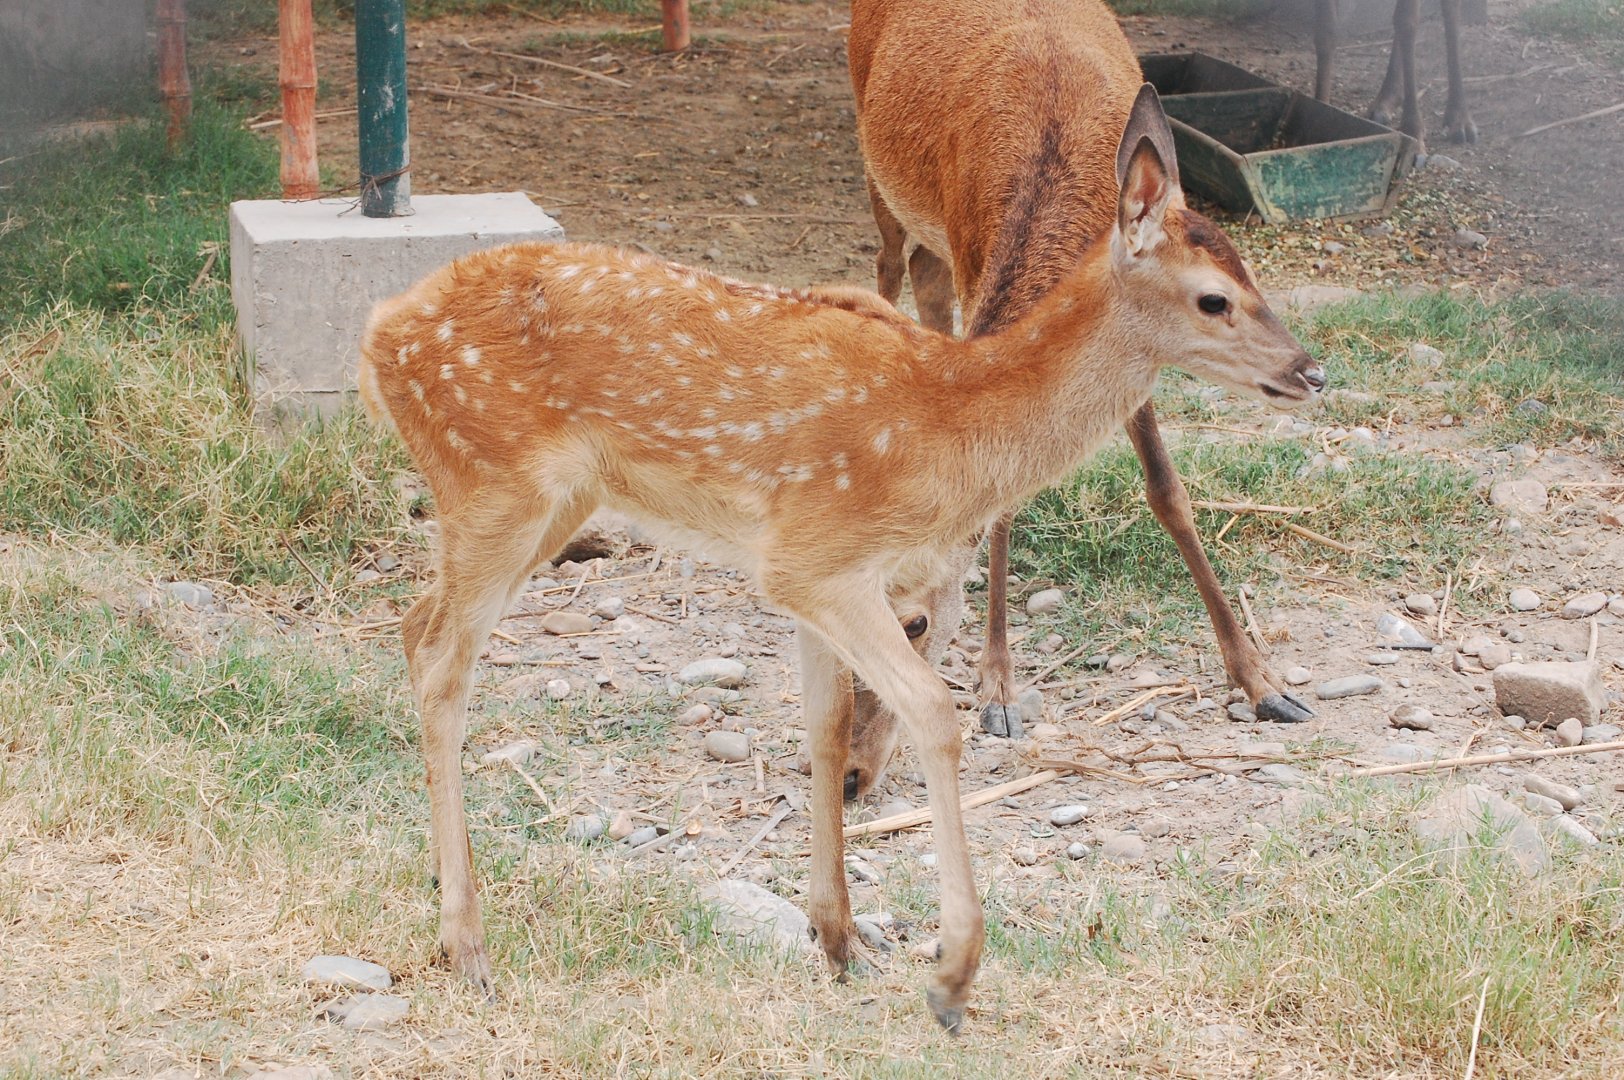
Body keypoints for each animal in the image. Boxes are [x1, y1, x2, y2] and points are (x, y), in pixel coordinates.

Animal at [358, 86, 1323, 1031]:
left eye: (1254, 276)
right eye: (1214, 299)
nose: (1311, 372)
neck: (952, 422)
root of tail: (377, 336)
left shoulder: (812, 581)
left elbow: (823, 729)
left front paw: (840, 939)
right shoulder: (817, 555)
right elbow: (934, 712)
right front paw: (951, 977)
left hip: (550, 503)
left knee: (412, 625)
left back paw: (444, 888)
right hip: (496, 482)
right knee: (443, 662)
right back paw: (467, 947)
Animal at [845, 0, 1316, 776]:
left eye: (913, 623)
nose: (852, 773)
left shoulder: (1135, 354)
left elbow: (1169, 493)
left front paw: (1264, 683)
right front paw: (998, 689)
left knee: (919, 275)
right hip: (873, 161)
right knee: (888, 265)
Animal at [1314, 0, 1477, 146]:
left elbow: (1407, 23)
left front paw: (1412, 132)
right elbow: (1326, 28)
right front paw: (1321, 109)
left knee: (1451, 7)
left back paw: (1459, 118)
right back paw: (1386, 100)